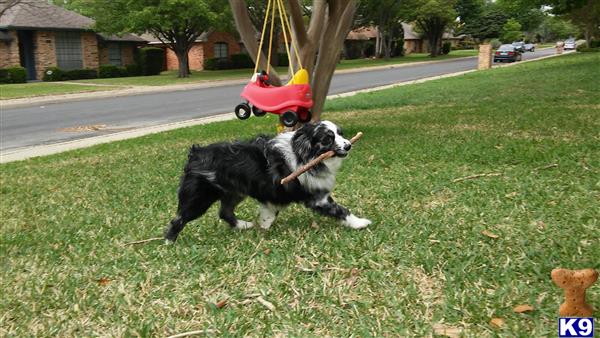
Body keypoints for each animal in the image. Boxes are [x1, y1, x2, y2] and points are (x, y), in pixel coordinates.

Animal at [164, 120, 370, 242]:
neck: (303, 153)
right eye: (328, 139)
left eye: (341, 134)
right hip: (199, 199)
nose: (348, 145)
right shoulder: (318, 198)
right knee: (179, 219)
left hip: (234, 192)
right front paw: (359, 223)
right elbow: (341, 210)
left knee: (224, 212)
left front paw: (264, 224)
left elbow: (270, 210)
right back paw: (169, 241)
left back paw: (242, 226)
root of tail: (195, 153)